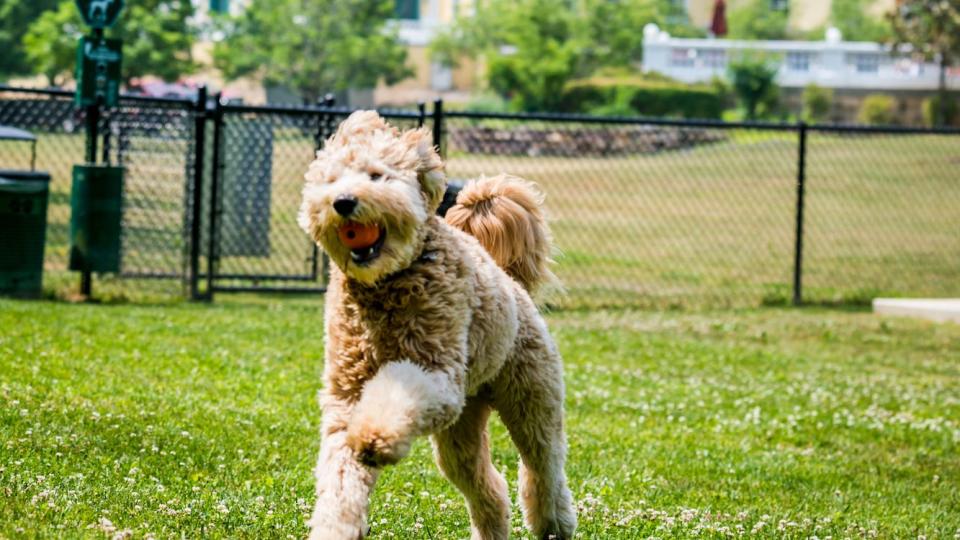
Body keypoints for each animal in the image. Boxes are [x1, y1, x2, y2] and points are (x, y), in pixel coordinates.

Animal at [296, 110, 572, 540]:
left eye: (376, 175)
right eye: (331, 180)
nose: (342, 202)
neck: (386, 286)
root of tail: (510, 279)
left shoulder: (435, 375)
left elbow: (396, 392)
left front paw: (375, 437)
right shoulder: (345, 400)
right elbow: (340, 480)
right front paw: (335, 525)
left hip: (531, 399)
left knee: (544, 463)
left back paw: (554, 523)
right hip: (461, 431)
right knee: (487, 485)